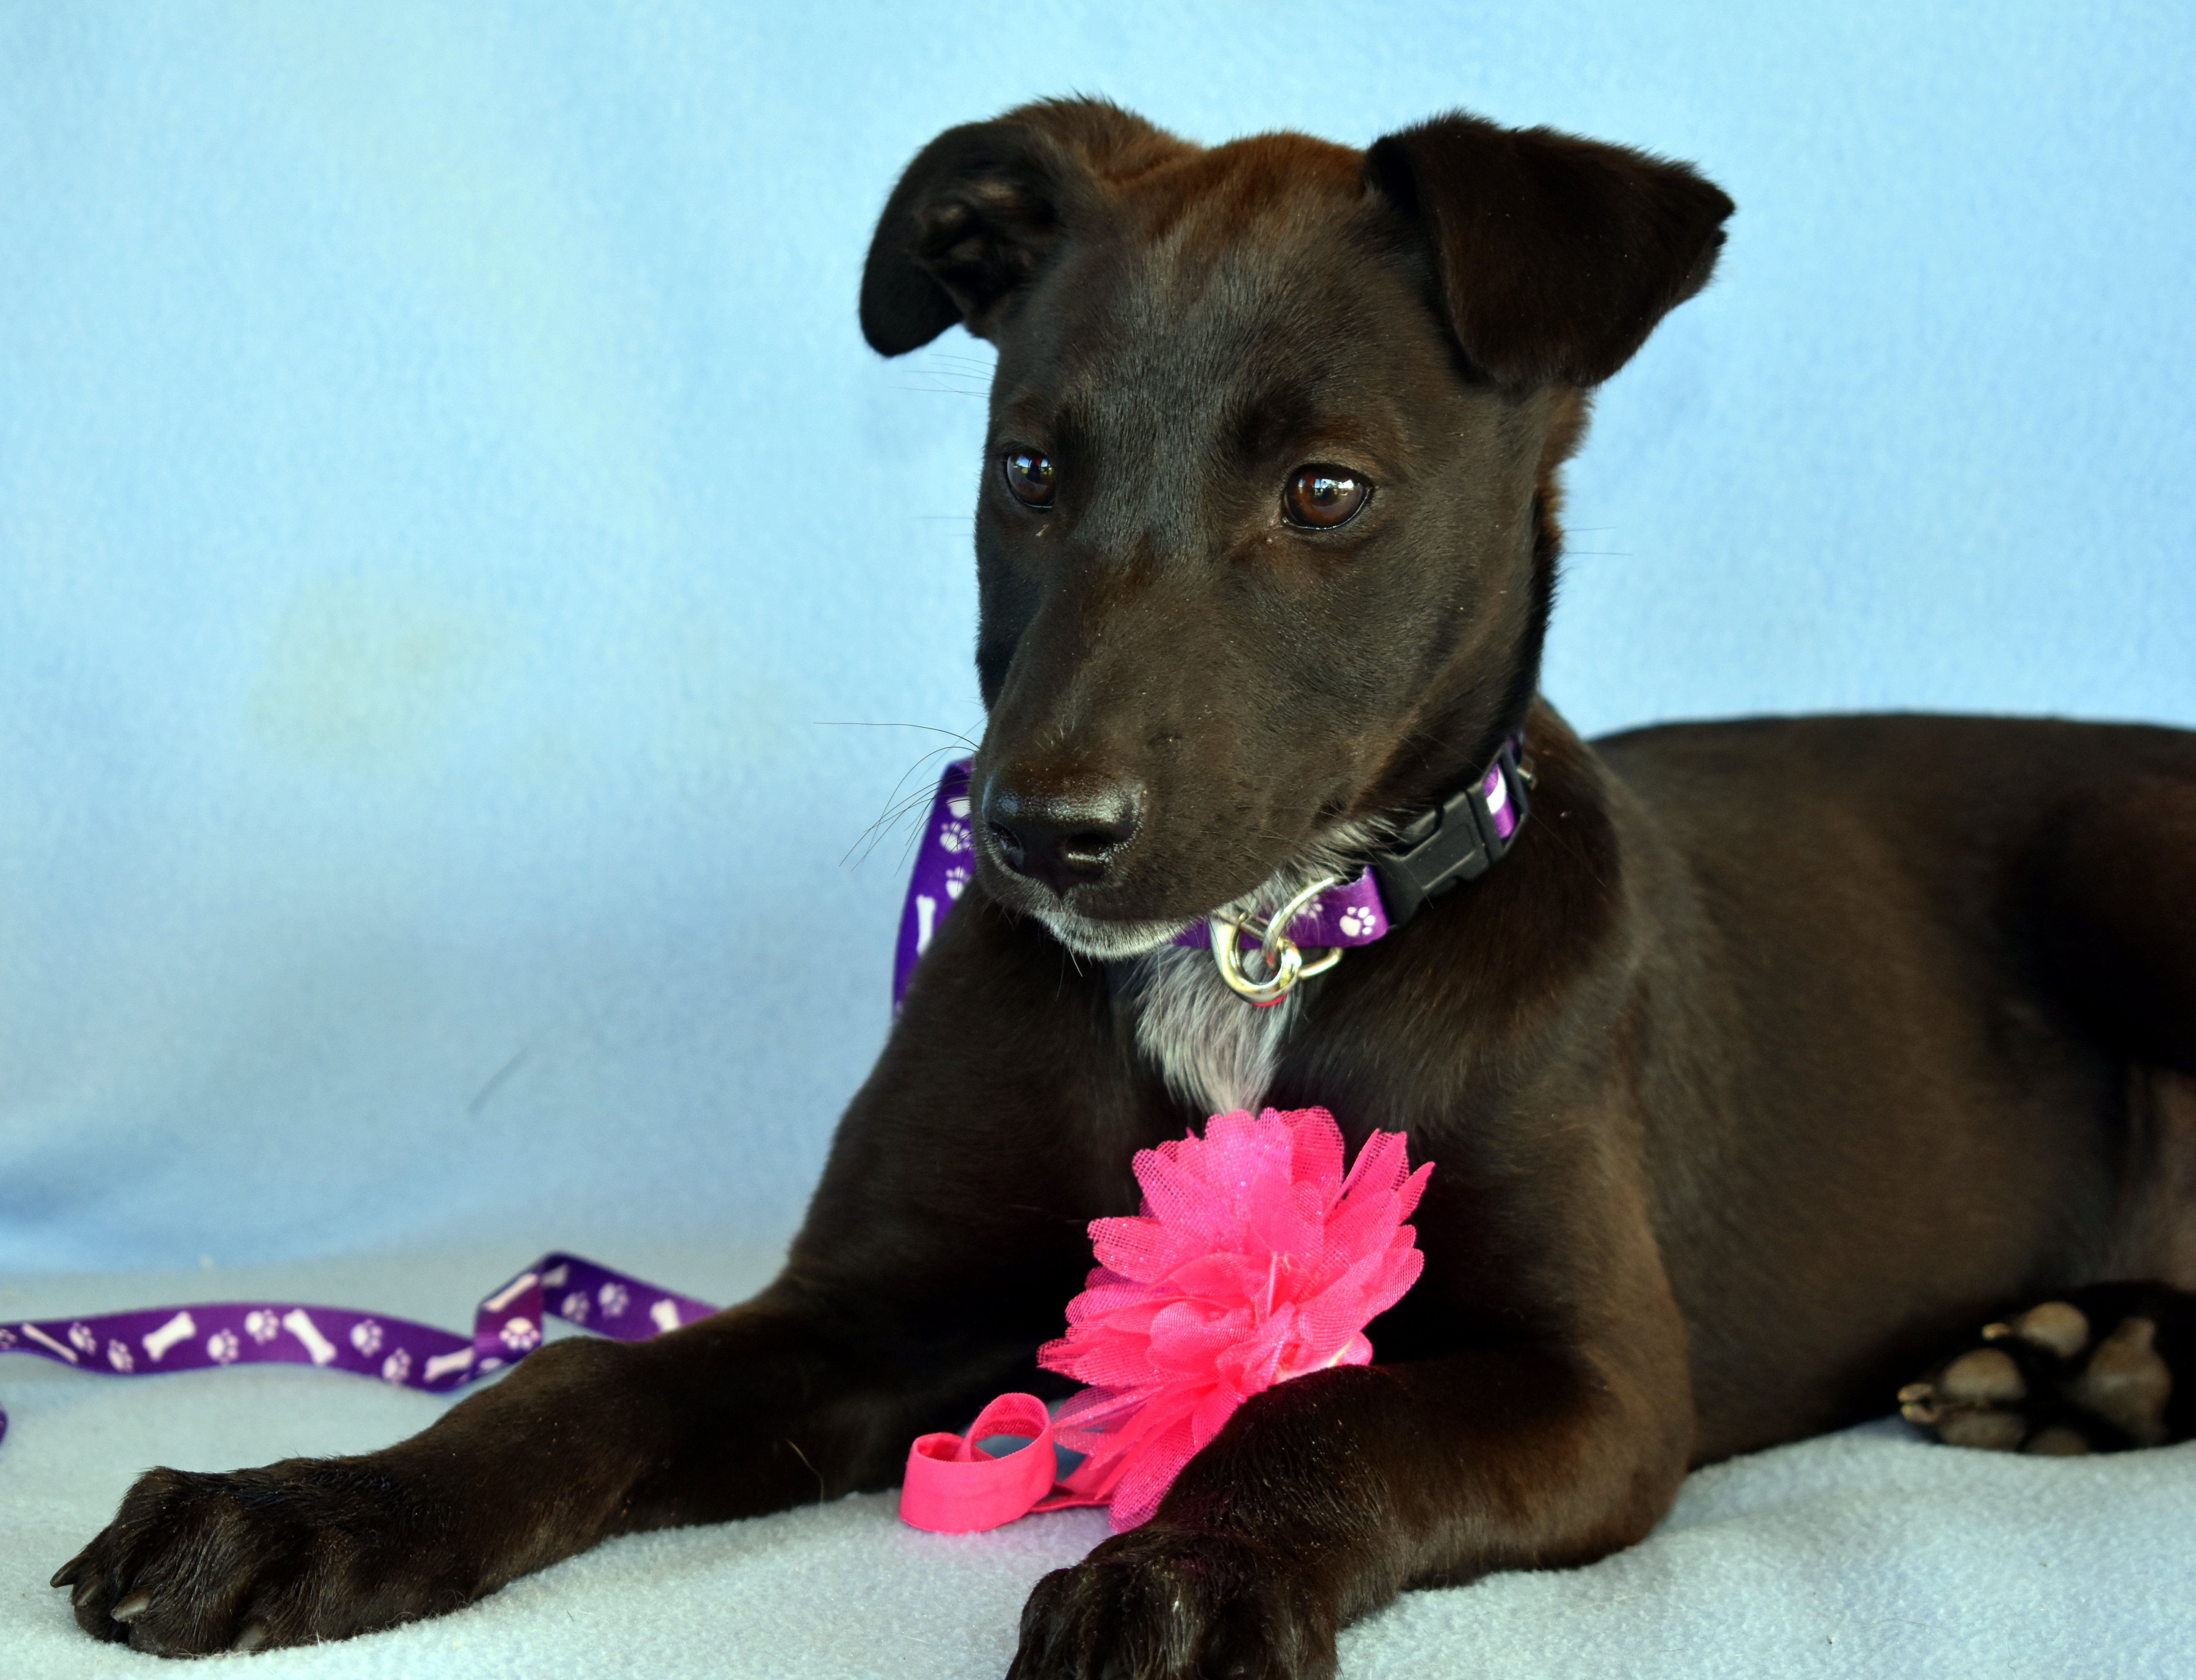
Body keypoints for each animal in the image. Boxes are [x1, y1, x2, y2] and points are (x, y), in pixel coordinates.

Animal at [51, 105, 2196, 1677]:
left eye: (1327, 491)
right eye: (1026, 467)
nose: (1035, 828)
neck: (1245, 955)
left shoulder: (1594, 1384)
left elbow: (1319, 1413)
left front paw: (1187, 1571)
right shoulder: (873, 1305)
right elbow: (576, 1382)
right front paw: (308, 1510)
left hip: (2131, 859)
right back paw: (2078, 1364)